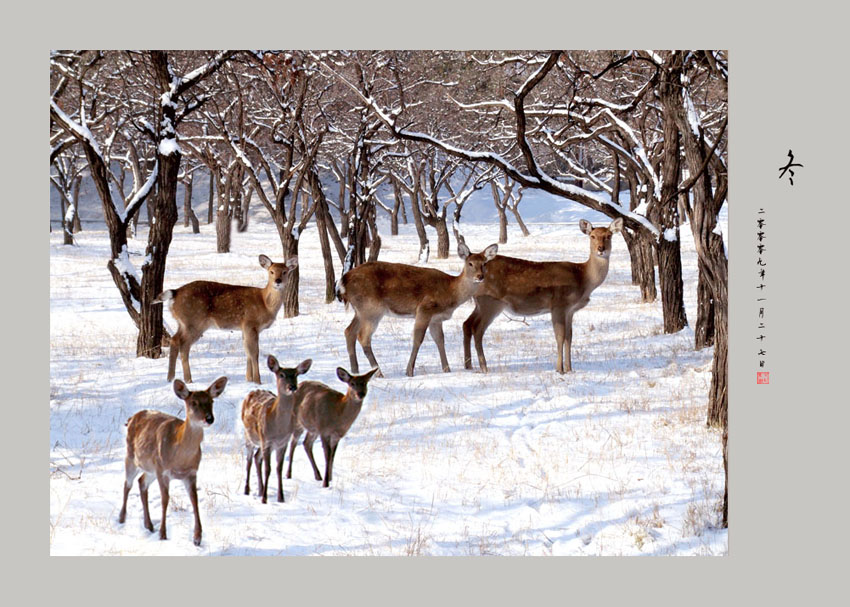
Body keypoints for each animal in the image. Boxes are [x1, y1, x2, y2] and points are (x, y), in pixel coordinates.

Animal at [117, 378, 229, 548]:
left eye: (211, 401)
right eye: (193, 402)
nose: (209, 418)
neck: (180, 459)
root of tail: (131, 418)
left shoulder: (191, 473)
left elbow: (194, 500)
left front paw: (197, 537)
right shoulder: (163, 471)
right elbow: (165, 500)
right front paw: (163, 534)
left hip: (151, 468)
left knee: (141, 482)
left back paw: (149, 525)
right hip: (131, 457)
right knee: (127, 484)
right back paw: (122, 518)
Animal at [155, 255, 298, 384]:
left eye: (285, 271)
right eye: (271, 271)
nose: (278, 281)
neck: (265, 303)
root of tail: (175, 292)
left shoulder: (244, 328)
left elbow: (247, 352)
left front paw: (249, 379)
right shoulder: (250, 323)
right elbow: (254, 353)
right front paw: (258, 381)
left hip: (183, 322)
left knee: (175, 340)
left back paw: (171, 378)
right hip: (194, 321)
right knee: (183, 345)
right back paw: (188, 379)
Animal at [238, 356, 312, 504]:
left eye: (296, 374)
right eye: (281, 374)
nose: (292, 387)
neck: (278, 427)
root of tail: (253, 391)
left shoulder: (282, 443)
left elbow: (279, 469)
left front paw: (280, 497)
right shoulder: (267, 441)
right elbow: (268, 469)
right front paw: (265, 499)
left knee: (257, 457)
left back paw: (260, 490)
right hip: (249, 436)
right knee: (249, 460)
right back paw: (247, 490)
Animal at [336, 241, 496, 376]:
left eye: (484, 263)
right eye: (470, 263)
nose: (480, 276)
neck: (451, 292)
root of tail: (344, 281)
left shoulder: (436, 318)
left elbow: (440, 340)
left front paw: (447, 369)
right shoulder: (425, 309)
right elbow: (418, 339)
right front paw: (409, 371)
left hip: (360, 310)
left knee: (349, 331)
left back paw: (355, 371)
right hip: (371, 309)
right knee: (363, 336)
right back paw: (379, 373)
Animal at [460, 216, 620, 372]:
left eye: (609, 236)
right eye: (592, 236)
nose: (601, 249)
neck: (582, 277)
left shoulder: (570, 310)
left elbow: (569, 337)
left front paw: (570, 369)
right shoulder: (559, 305)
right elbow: (560, 336)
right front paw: (559, 369)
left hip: (481, 303)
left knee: (467, 323)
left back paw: (468, 365)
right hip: (491, 301)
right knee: (477, 329)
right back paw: (484, 367)